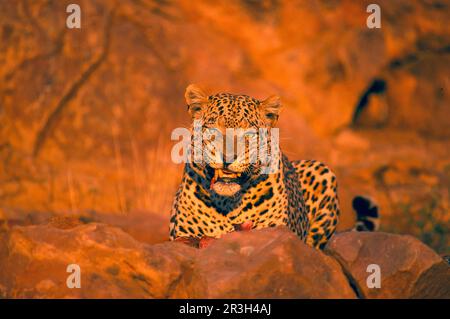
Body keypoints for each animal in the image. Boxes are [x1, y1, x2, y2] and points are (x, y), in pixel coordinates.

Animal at [171, 84, 378, 250]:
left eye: (249, 133)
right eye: (214, 129)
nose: (228, 157)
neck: (227, 203)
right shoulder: (182, 235)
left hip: (322, 171)